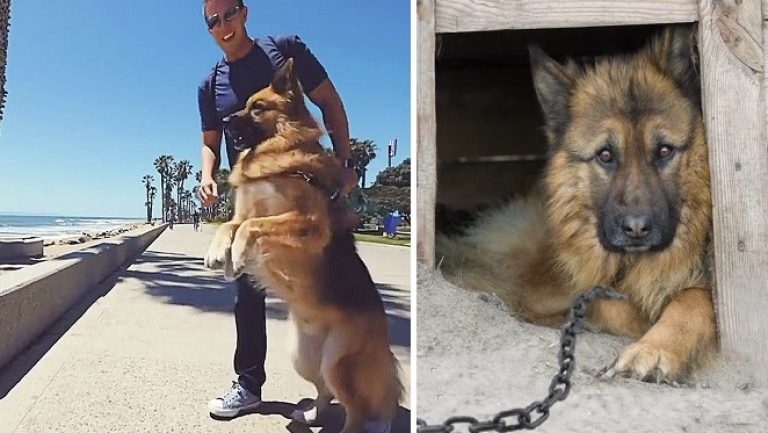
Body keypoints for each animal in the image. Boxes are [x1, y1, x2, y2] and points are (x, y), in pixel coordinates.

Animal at [204, 60, 402, 432]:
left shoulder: (307, 223)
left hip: (338, 364)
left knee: (355, 408)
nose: (222, 121)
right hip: (305, 358)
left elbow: (252, 228)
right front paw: (221, 255)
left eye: (257, 107)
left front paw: (238, 254)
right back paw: (310, 415)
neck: (278, 150)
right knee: (325, 392)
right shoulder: (244, 211)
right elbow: (228, 225)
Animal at [438, 27, 712, 382]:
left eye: (665, 151)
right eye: (605, 155)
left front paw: (655, 348)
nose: (637, 228)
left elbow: (692, 299)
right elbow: (611, 304)